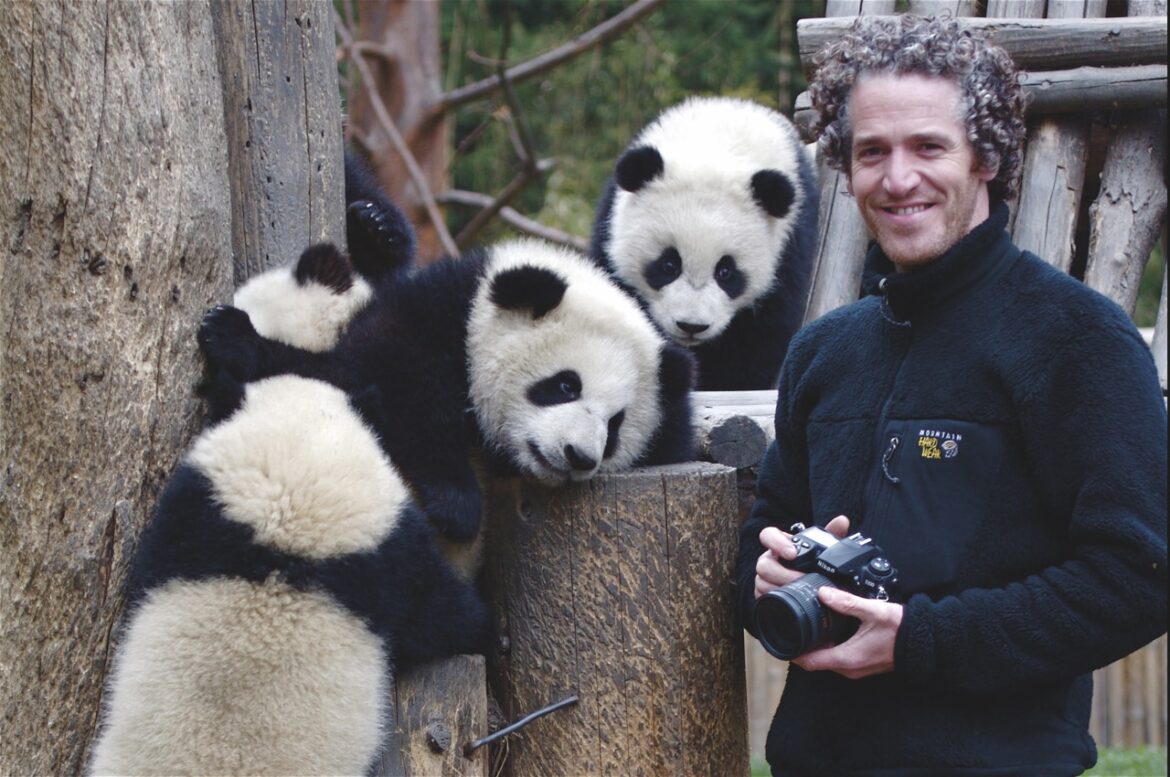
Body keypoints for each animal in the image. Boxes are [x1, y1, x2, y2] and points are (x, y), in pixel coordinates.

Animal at [198, 237, 698, 549]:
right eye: (564, 385)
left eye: (616, 425)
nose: (579, 456)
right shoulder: (432, 318)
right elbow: (376, 383)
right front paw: (457, 505)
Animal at [589, 96, 819, 390]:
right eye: (669, 264)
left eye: (726, 271)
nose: (691, 327)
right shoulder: (609, 222)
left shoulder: (792, 244)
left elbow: (760, 337)